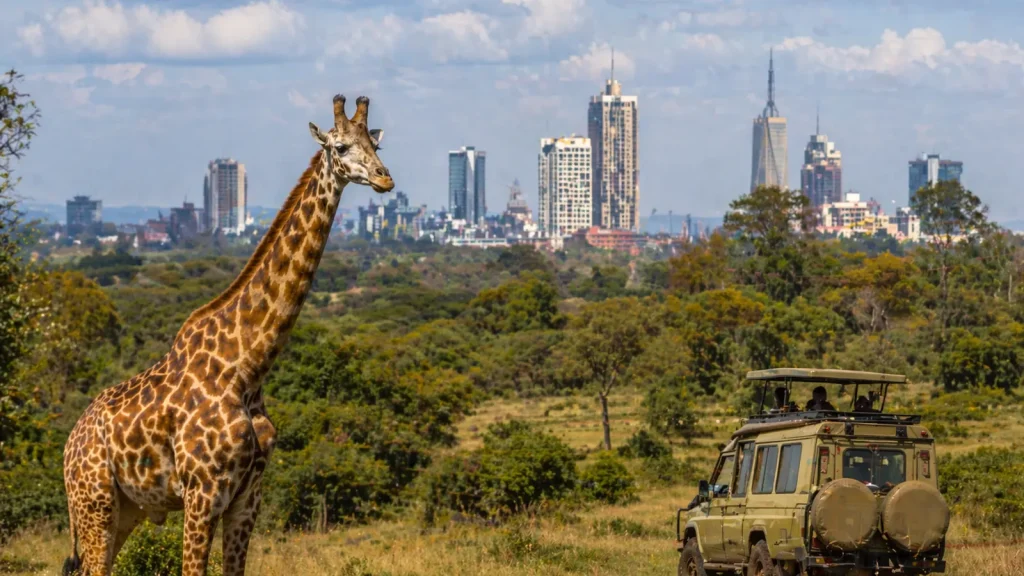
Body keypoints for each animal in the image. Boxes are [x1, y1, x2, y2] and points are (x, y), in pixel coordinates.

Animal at [61, 94, 393, 576]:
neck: (247, 368)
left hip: (127, 510)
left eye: (376, 144)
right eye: (340, 147)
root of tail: (69, 443)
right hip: (94, 504)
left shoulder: (247, 496)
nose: (385, 179)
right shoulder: (203, 494)